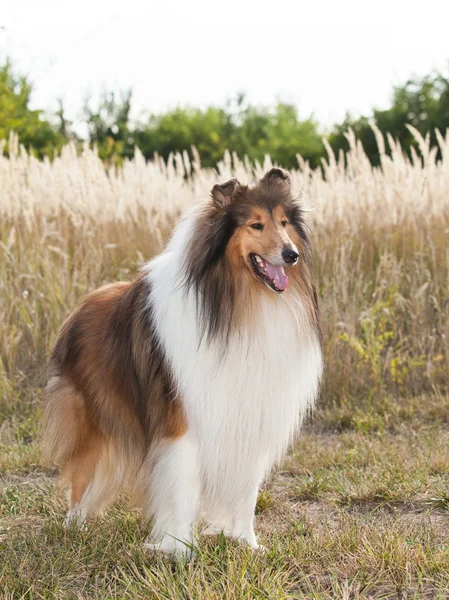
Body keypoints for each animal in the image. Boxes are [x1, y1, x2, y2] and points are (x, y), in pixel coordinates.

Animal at [42, 166, 322, 556]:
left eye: (283, 222)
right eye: (256, 225)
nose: (291, 254)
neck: (239, 303)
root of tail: (80, 307)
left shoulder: (251, 414)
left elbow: (246, 492)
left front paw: (246, 543)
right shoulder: (184, 418)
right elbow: (183, 486)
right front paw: (178, 549)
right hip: (97, 419)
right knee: (83, 473)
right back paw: (74, 527)